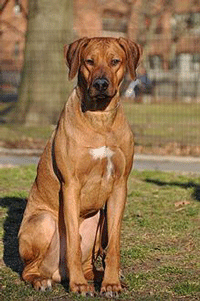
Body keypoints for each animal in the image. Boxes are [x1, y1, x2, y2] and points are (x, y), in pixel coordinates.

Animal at [18, 37, 141, 296]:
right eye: (89, 61)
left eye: (115, 61)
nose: (101, 84)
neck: (100, 119)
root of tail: (57, 273)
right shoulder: (71, 185)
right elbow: (73, 241)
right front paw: (78, 286)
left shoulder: (120, 186)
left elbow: (114, 244)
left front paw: (111, 282)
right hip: (43, 222)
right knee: (28, 269)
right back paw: (42, 280)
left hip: (99, 220)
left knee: (90, 261)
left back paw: (99, 276)